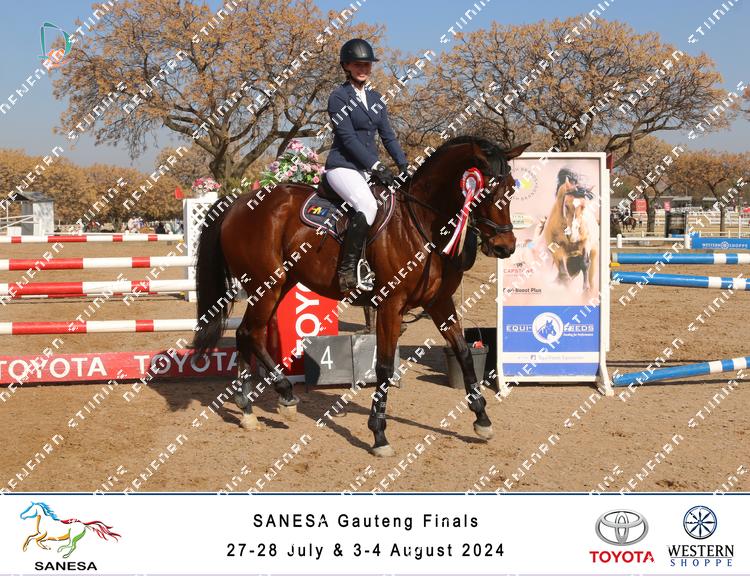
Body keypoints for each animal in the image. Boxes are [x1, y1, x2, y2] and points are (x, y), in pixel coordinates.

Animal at [193, 135, 530, 456]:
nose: (505, 247)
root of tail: (239, 202)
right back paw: (277, 395)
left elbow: (463, 353)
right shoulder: (391, 305)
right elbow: (384, 367)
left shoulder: (439, 302)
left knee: (248, 334)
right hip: (267, 285)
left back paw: (251, 408)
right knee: (250, 332)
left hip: (281, 284)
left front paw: (482, 419)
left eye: (511, 189)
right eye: (485, 191)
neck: (421, 223)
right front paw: (379, 434)